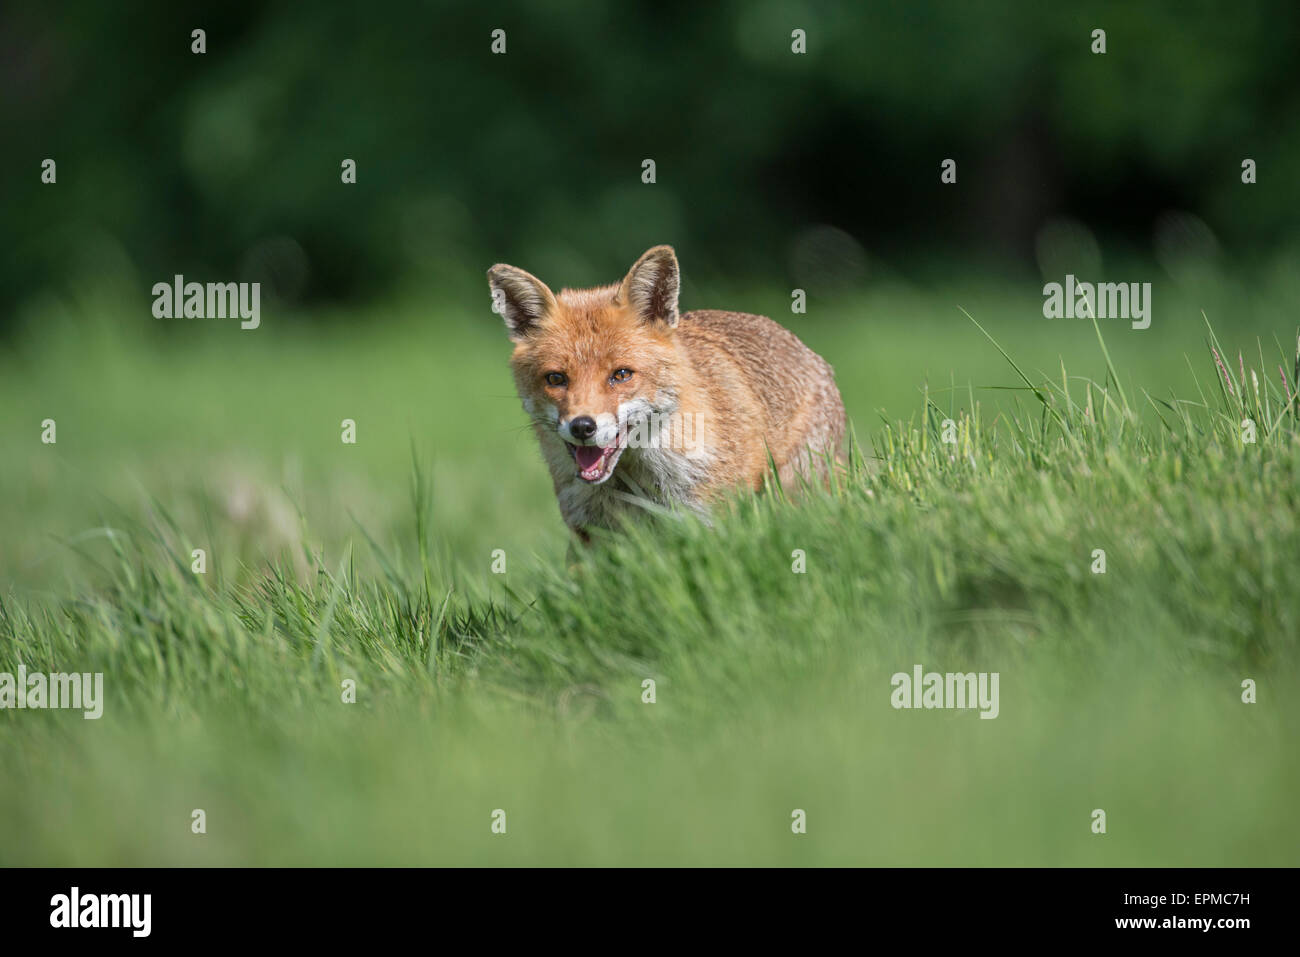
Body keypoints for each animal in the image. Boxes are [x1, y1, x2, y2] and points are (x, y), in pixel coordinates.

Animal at [488, 244, 842, 538]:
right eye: (556, 379)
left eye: (621, 375)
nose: (582, 426)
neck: (634, 479)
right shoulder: (591, 535)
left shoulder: (707, 519)